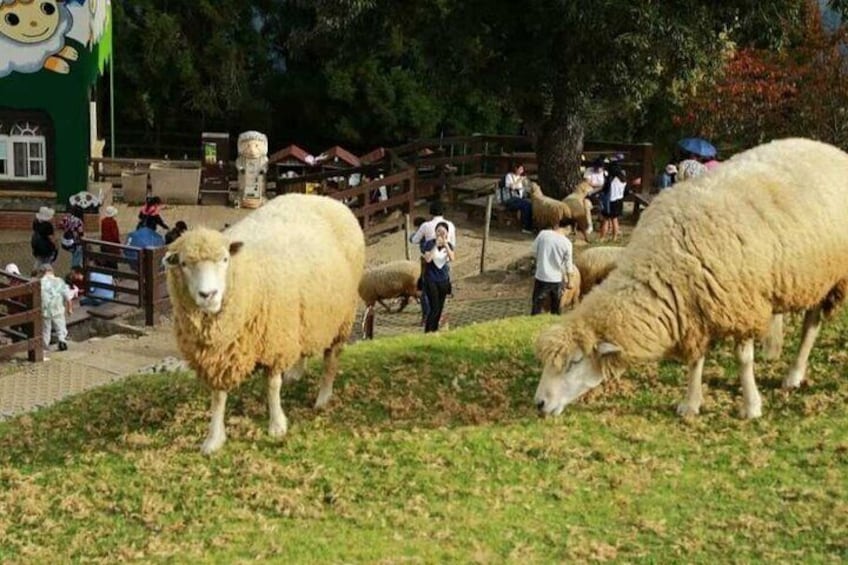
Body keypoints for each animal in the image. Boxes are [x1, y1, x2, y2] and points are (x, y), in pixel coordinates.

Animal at [166, 194, 364, 454]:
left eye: (225, 259)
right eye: (183, 264)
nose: (208, 294)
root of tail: (323, 198)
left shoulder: (275, 341)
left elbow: (272, 386)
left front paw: (277, 425)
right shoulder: (221, 355)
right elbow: (218, 397)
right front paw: (214, 439)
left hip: (340, 317)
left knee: (331, 358)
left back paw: (323, 397)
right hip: (301, 317)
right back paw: (296, 373)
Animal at [536, 137, 848, 418]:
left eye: (574, 363)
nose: (539, 404)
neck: (663, 261)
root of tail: (832, 150)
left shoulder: (741, 305)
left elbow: (743, 360)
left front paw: (751, 406)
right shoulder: (693, 307)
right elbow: (696, 360)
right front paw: (690, 404)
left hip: (834, 276)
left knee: (810, 326)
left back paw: (794, 375)